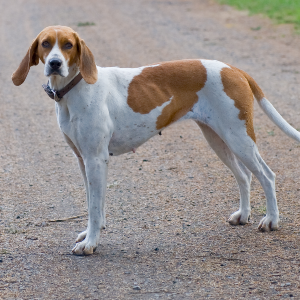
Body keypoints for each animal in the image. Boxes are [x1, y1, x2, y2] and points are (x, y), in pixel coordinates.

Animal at [11, 26, 300, 255]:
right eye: (45, 43)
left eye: (68, 45)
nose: (55, 63)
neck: (77, 87)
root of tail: (234, 69)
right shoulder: (84, 160)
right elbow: (94, 203)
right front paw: (93, 232)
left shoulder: (95, 159)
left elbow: (93, 206)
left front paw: (90, 243)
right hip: (219, 140)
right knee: (245, 176)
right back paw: (243, 215)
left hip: (239, 138)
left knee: (267, 175)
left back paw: (272, 220)